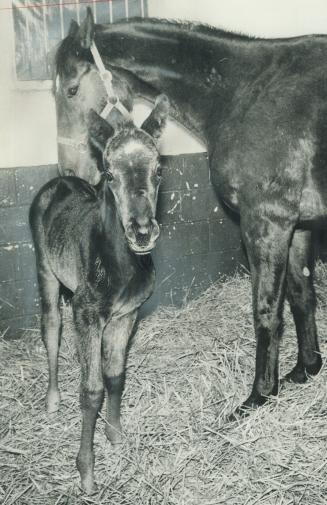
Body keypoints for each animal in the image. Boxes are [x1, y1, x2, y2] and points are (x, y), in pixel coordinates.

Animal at [29, 94, 169, 492]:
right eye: (109, 174)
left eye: (158, 171)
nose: (142, 232)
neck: (120, 264)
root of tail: (59, 179)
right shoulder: (87, 315)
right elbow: (91, 390)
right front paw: (87, 472)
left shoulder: (126, 315)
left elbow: (115, 376)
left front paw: (116, 435)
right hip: (46, 271)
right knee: (51, 328)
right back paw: (52, 399)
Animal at [56, 9, 326, 416]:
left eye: (71, 89)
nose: (70, 172)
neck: (245, 93)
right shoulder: (299, 224)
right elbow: (301, 294)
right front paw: (305, 369)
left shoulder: (267, 222)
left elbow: (265, 309)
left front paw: (259, 395)